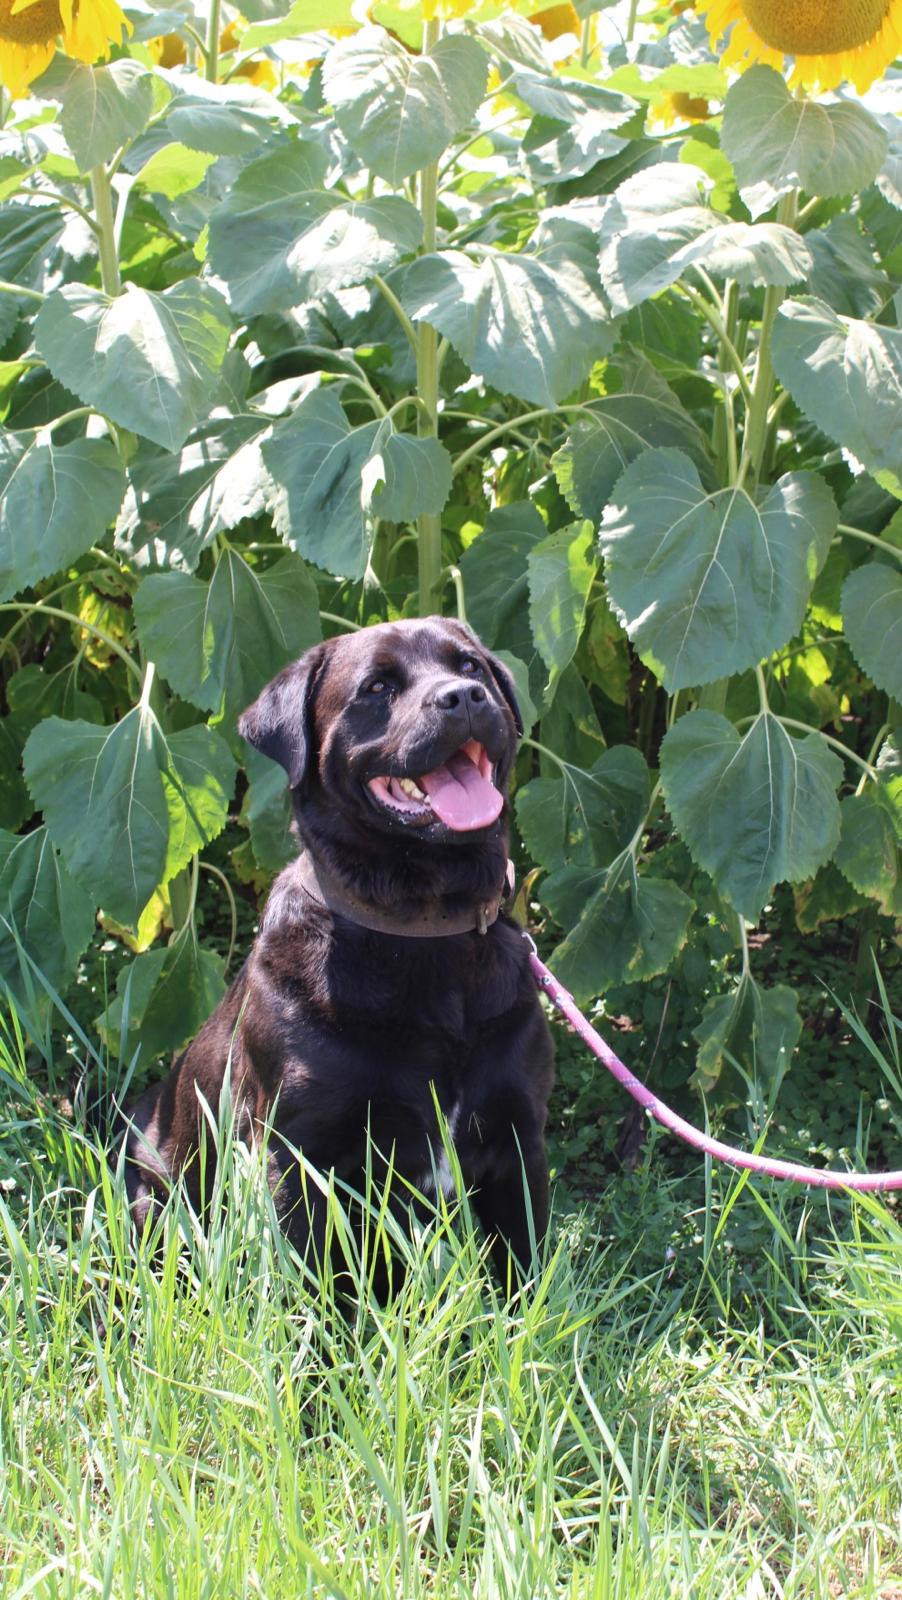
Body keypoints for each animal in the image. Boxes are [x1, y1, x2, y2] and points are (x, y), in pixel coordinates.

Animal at [123, 617, 553, 1280]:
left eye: (470, 665)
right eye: (376, 687)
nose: (462, 696)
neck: (425, 924)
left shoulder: (518, 1139)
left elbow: (525, 1273)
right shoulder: (300, 1158)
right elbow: (319, 1284)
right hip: (156, 1201)